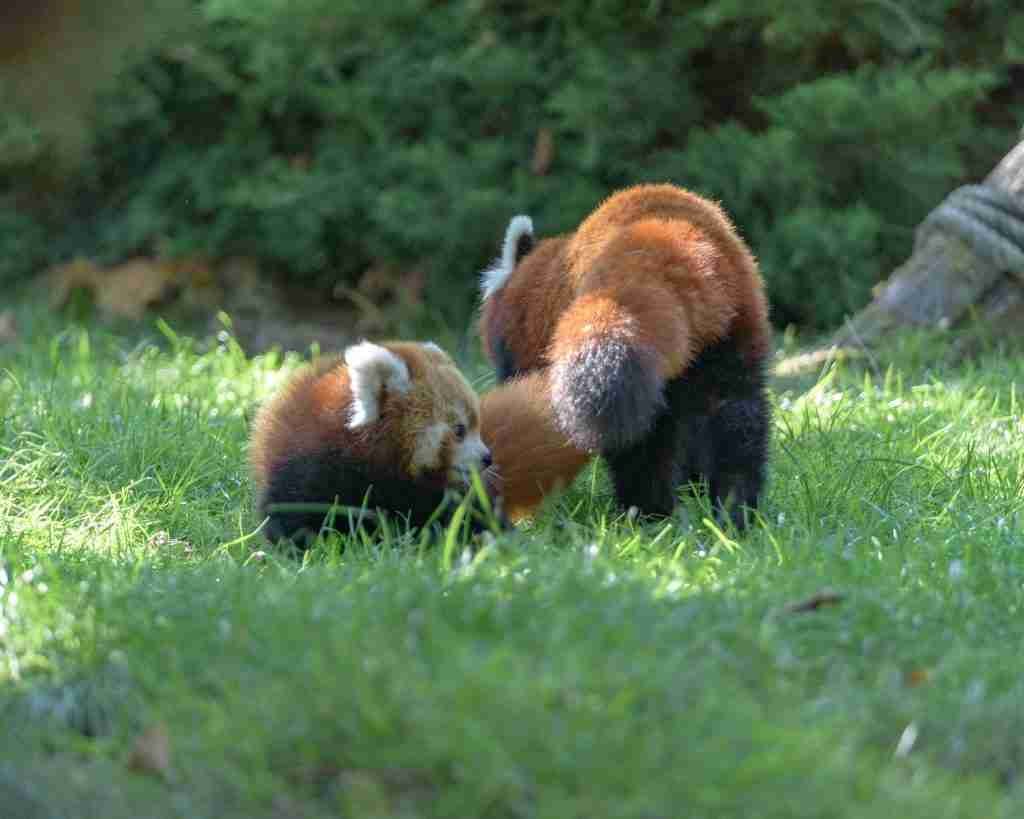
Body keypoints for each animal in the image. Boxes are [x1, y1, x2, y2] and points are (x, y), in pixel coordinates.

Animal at [475, 183, 770, 528]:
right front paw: (693, 486)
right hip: (731, 332)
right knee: (738, 422)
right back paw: (735, 509)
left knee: (643, 446)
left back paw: (644, 513)